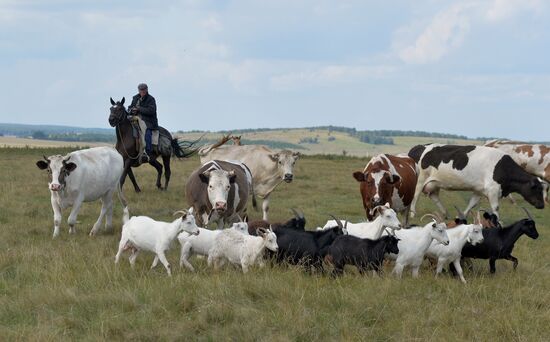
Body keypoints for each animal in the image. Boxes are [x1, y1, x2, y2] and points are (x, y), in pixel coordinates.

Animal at [408, 144, 544, 219]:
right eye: (536, 189)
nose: (542, 205)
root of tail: (419, 147)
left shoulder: (479, 190)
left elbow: (471, 204)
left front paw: (461, 216)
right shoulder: (493, 189)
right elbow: (495, 207)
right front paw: (498, 223)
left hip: (433, 183)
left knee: (434, 197)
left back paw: (445, 213)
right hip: (421, 180)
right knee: (415, 195)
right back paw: (412, 213)